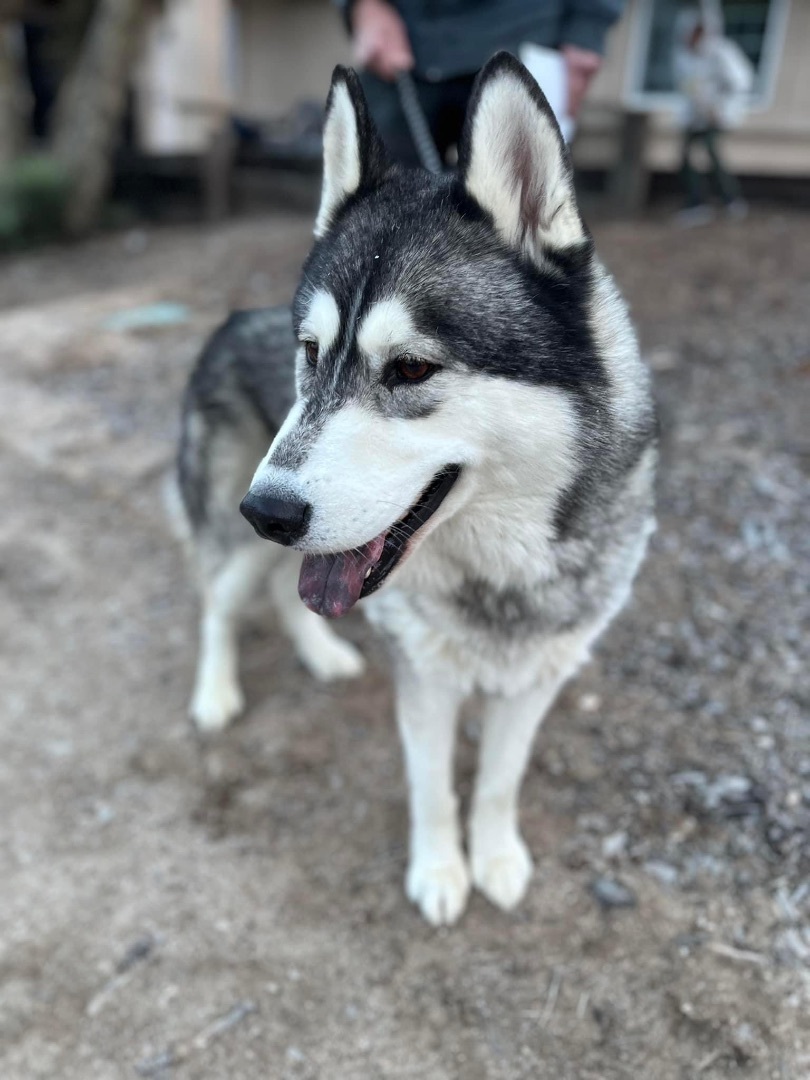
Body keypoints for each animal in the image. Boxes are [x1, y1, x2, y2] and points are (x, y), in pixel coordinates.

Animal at [177, 54, 660, 924]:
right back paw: (215, 693)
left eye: (409, 368)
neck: (500, 572)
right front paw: (440, 873)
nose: (267, 511)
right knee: (221, 606)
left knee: (284, 597)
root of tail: (230, 317)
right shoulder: (427, 681)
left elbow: (498, 781)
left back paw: (323, 654)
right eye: (311, 353)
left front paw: (495, 859)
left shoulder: (536, 681)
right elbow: (434, 787)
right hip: (237, 548)